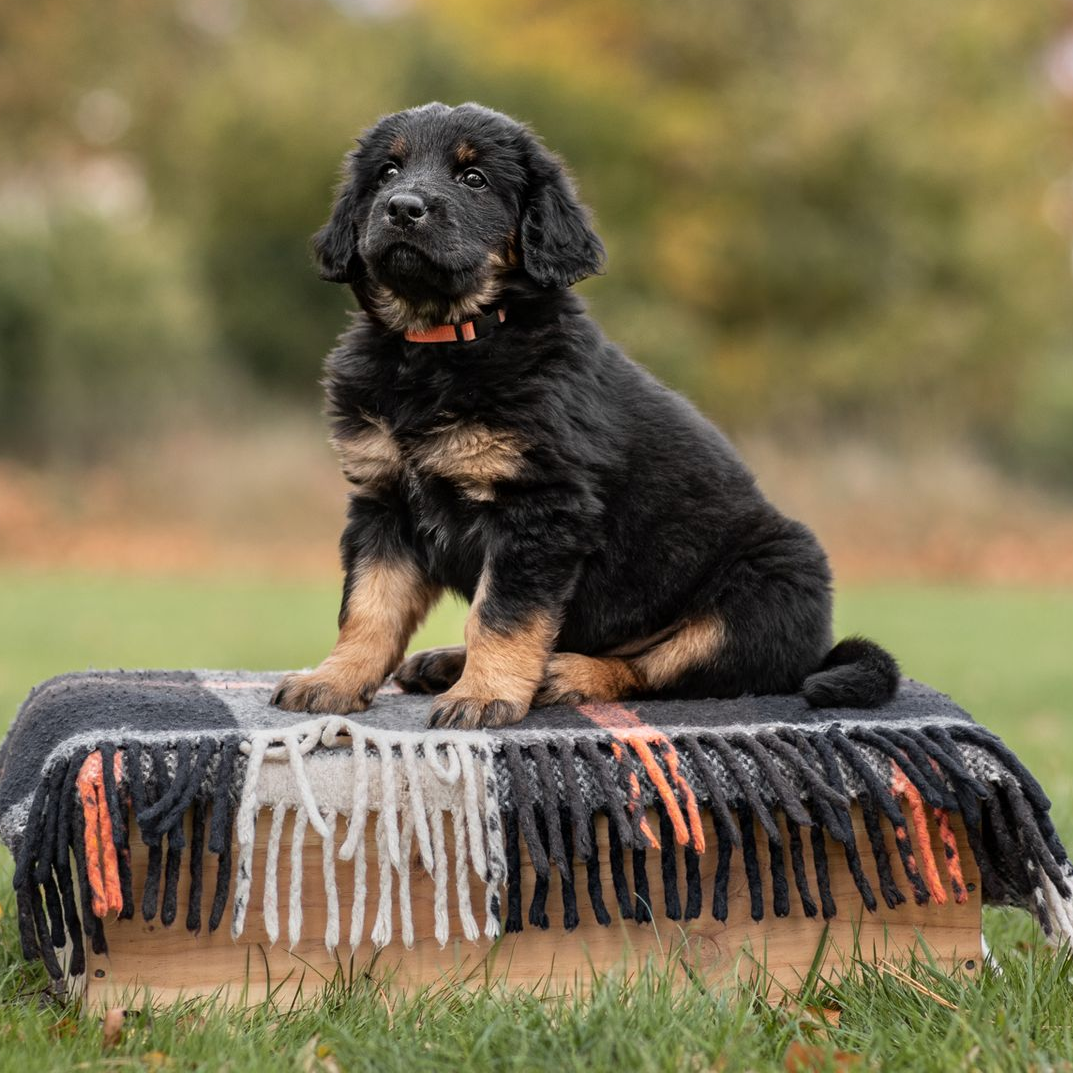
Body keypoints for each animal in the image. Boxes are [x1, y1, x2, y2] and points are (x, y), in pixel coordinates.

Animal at [271, 102, 899, 729]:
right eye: (388, 172)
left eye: (473, 178)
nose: (402, 207)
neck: (439, 343)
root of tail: (816, 652)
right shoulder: (383, 500)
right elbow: (367, 607)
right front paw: (334, 681)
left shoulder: (541, 508)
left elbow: (502, 614)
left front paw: (484, 695)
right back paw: (448, 662)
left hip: (761, 589)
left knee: (654, 667)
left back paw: (561, 673)